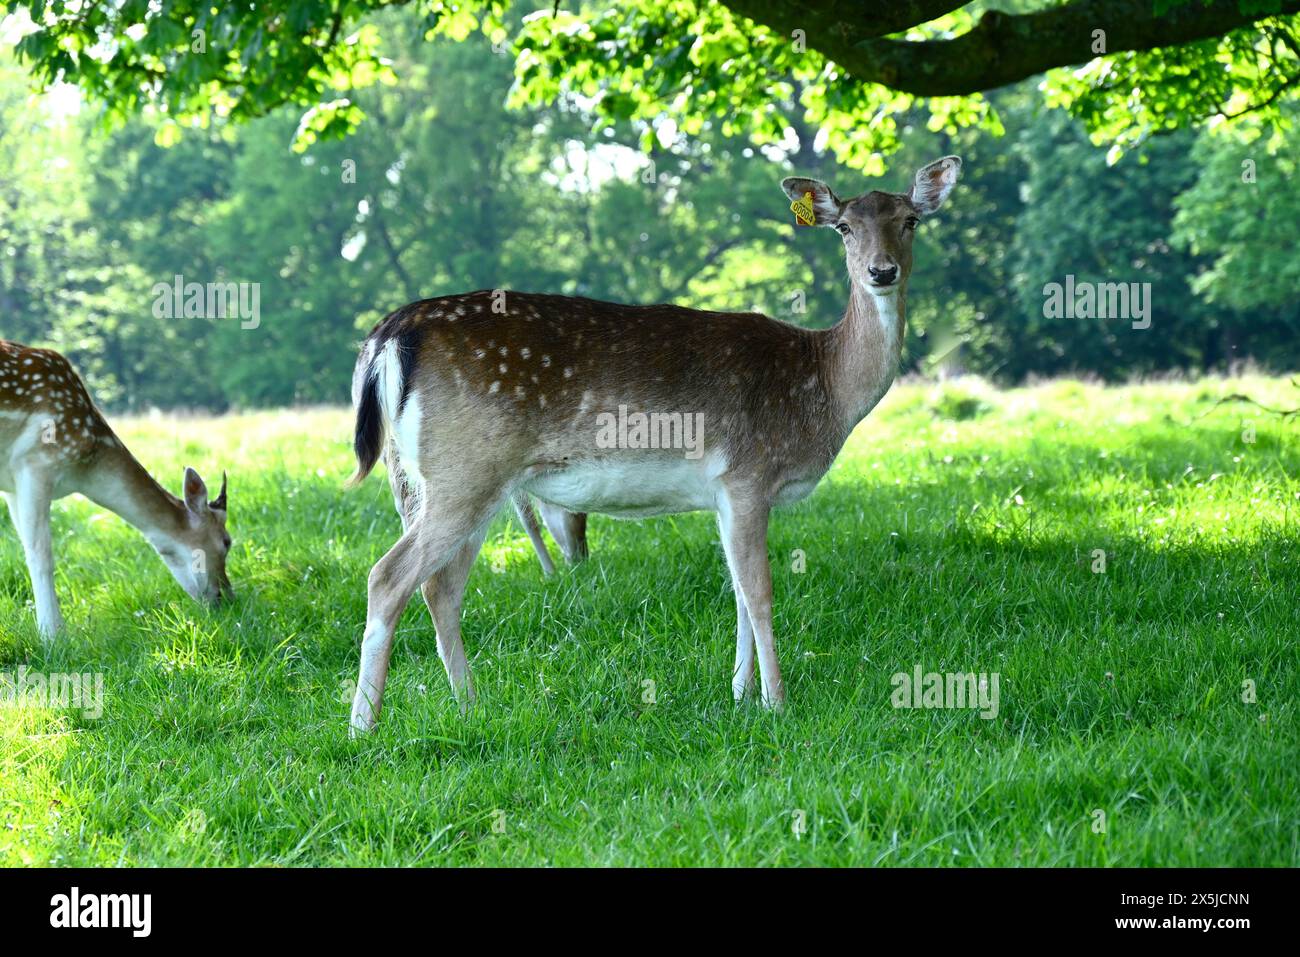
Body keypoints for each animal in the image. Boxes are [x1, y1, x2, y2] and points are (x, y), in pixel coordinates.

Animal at [0, 341, 233, 638]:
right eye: (227, 542)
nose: (227, 597)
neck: (84, 471)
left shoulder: (11, 485)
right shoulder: (36, 462)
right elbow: (40, 553)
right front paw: (53, 635)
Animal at [345, 156, 961, 734]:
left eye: (910, 220)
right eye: (845, 228)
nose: (882, 271)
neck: (823, 387)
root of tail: (387, 336)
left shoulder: (724, 494)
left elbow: (737, 591)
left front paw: (739, 694)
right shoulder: (748, 474)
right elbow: (759, 590)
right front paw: (777, 703)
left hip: (439, 479)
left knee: (441, 587)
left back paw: (469, 705)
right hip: (467, 469)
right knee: (388, 578)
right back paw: (363, 725)